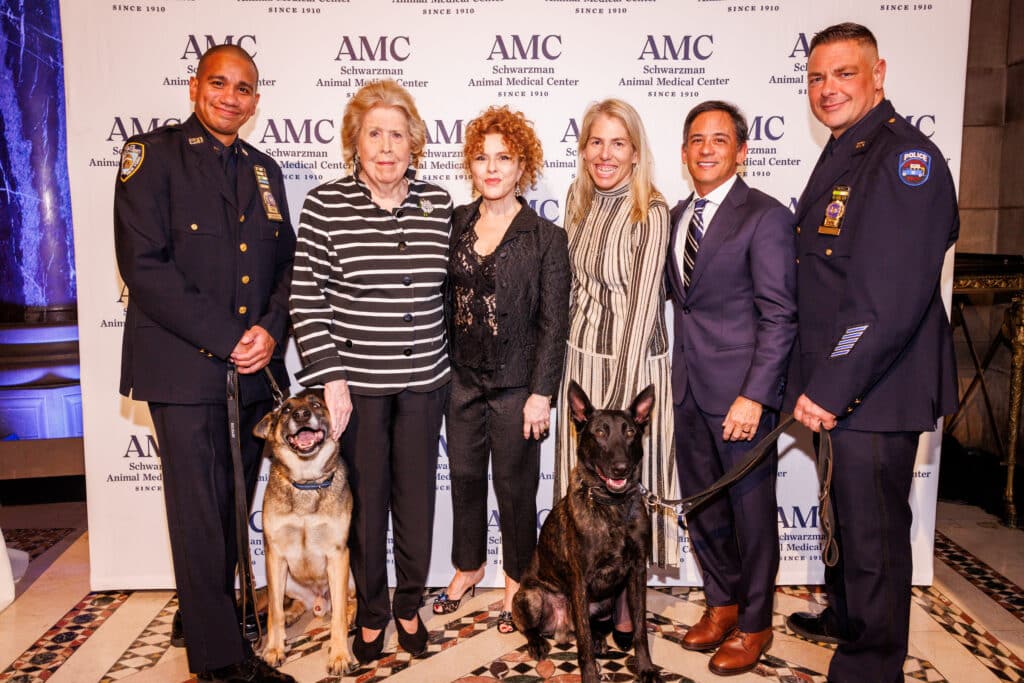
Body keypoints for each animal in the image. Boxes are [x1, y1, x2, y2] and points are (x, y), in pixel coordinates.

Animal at [253, 393, 354, 675]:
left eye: (316, 404)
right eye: (286, 410)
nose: (301, 415)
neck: (307, 483)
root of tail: (318, 604)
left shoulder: (338, 555)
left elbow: (338, 617)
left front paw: (339, 655)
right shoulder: (275, 556)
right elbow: (274, 610)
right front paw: (274, 648)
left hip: (348, 575)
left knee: (347, 602)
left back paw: (350, 615)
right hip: (286, 580)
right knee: (286, 603)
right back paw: (292, 614)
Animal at [512, 382, 663, 679]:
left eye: (630, 432)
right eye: (600, 432)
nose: (621, 469)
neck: (612, 506)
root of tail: (561, 628)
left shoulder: (637, 573)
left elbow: (640, 628)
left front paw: (645, 667)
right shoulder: (580, 581)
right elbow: (582, 641)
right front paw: (590, 675)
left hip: (605, 601)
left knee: (594, 627)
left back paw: (599, 640)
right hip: (530, 596)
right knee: (532, 628)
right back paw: (538, 643)